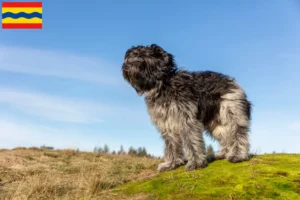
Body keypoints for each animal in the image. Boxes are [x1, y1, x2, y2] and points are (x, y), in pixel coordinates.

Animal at [121, 44, 251, 172]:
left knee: (237, 133)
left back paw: (238, 155)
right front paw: (171, 164)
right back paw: (223, 154)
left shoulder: (186, 119)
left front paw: (196, 163)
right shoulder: (166, 122)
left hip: (231, 111)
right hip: (216, 123)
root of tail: (232, 82)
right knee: (226, 137)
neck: (163, 86)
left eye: (141, 56)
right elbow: (172, 145)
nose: (125, 66)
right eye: (129, 57)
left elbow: (191, 141)